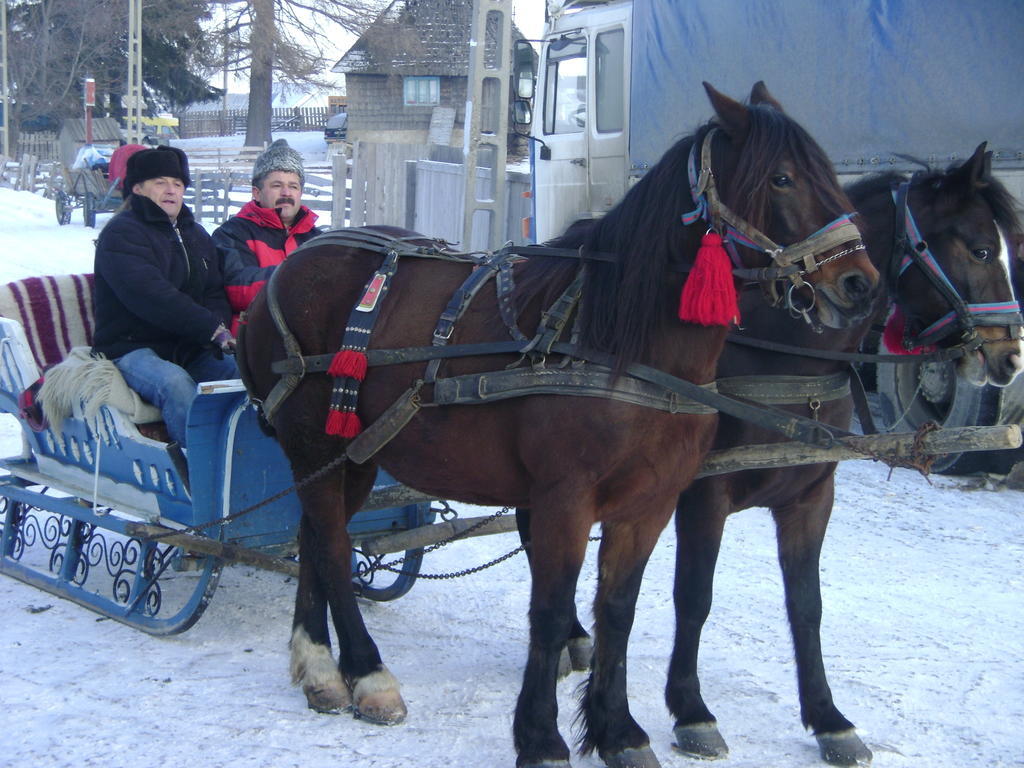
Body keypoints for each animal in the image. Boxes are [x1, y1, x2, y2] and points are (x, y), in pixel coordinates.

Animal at [237, 83, 880, 768]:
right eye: (783, 178)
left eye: (829, 173)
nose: (860, 282)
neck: (619, 344)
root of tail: (289, 268)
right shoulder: (565, 501)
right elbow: (549, 611)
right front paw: (542, 736)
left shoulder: (650, 505)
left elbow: (617, 611)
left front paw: (618, 729)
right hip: (314, 444)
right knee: (333, 546)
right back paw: (365, 672)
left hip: (353, 453)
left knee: (313, 536)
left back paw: (318, 666)